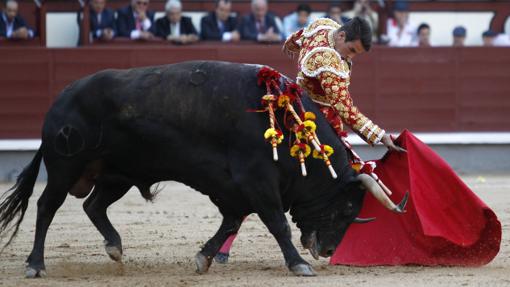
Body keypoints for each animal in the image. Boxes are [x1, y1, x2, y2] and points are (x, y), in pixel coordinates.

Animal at [0, 61, 402, 280]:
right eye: (348, 208)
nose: (328, 250)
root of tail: (60, 100)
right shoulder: (257, 182)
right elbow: (277, 224)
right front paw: (299, 264)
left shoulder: (235, 191)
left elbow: (231, 224)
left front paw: (203, 258)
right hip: (64, 167)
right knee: (46, 207)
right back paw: (35, 265)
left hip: (118, 174)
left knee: (93, 205)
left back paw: (114, 247)